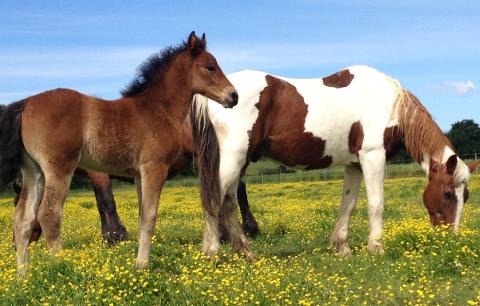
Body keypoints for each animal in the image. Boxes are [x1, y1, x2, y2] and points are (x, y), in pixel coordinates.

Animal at [0, 32, 239, 272]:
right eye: (210, 66)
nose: (233, 96)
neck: (158, 109)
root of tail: (25, 104)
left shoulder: (139, 175)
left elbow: (142, 217)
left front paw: (140, 262)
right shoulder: (154, 168)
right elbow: (149, 217)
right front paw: (142, 265)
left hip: (34, 172)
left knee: (23, 219)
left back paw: (23, 274)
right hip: (59, 169)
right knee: (49, 215)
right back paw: (63, 267)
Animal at [192, 66, 480, 258]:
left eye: (466, 196)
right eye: (447, 193)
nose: (450, 238)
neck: (392, 104)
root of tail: (217, 92)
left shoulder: (354, 164)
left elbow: (348, 204)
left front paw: (342, 247)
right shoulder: (373, 156)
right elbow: (376, 204)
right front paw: (377, 247)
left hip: (237, 162)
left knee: (228, 201)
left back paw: (245, 252)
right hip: (232, 159)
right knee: (214, 199)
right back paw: (213, 252)